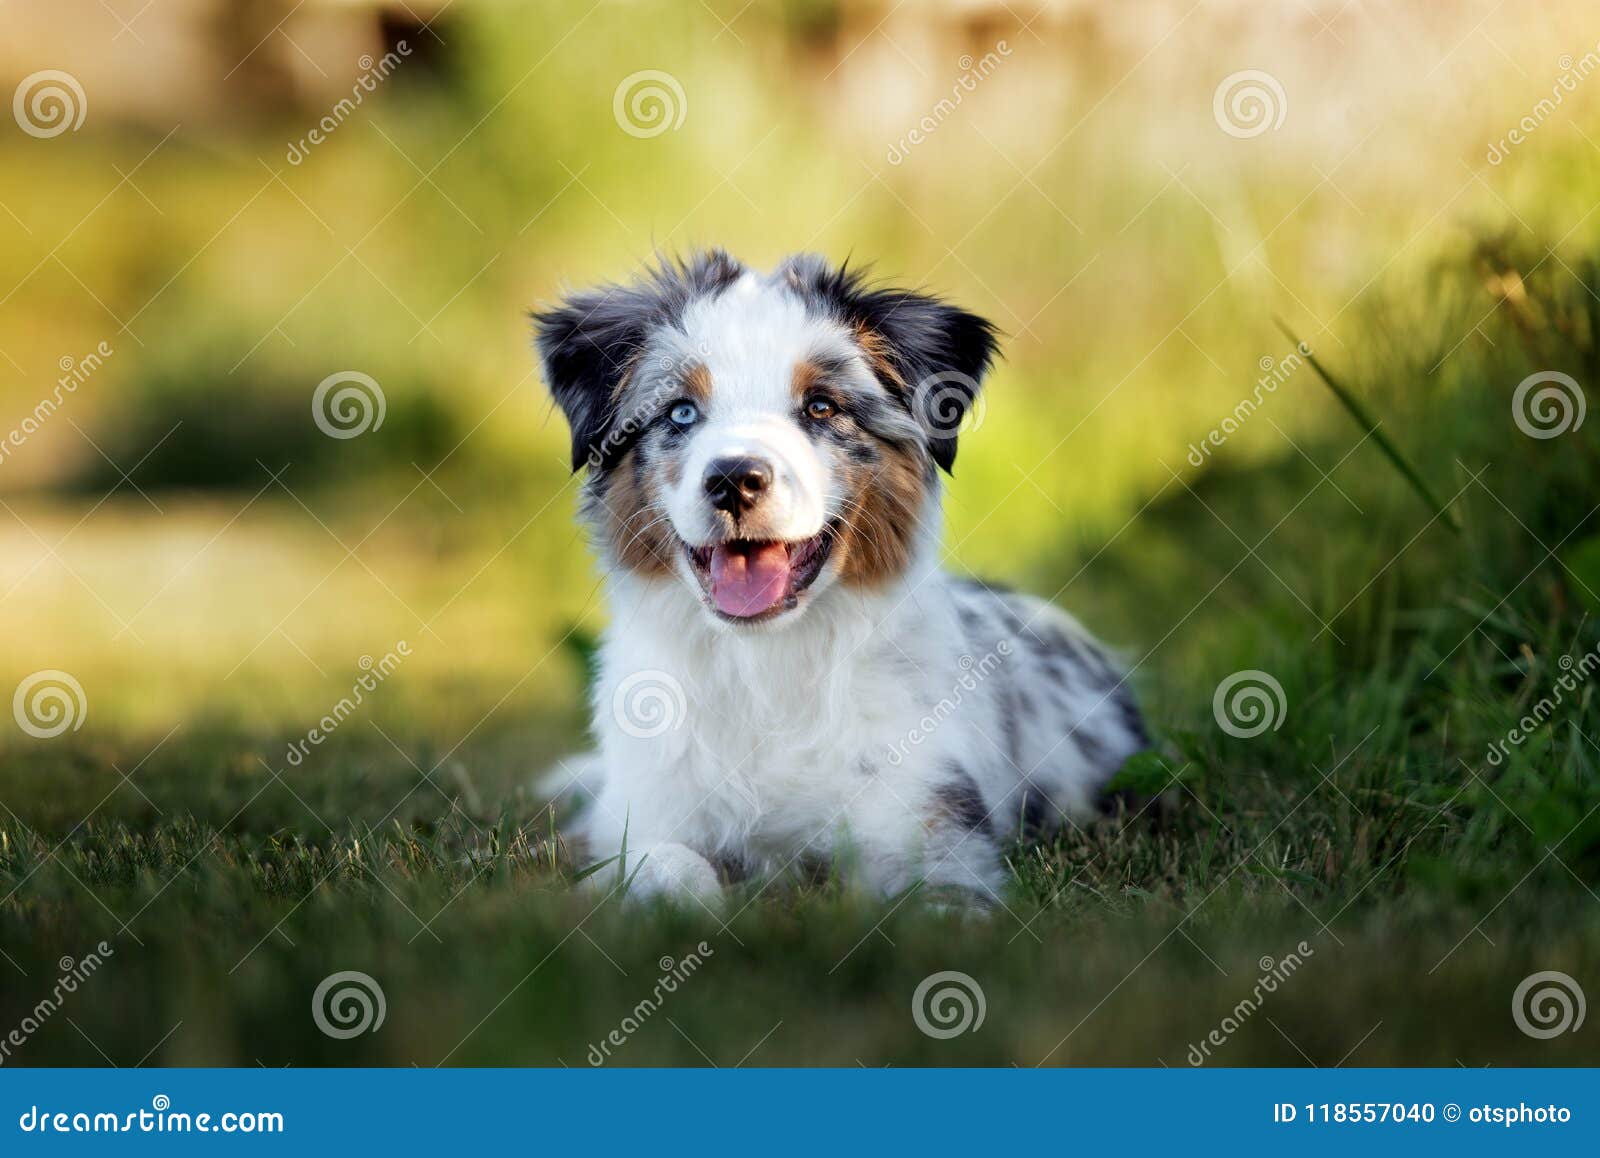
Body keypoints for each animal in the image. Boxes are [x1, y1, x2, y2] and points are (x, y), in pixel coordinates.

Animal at [540, 251, 1152, 902]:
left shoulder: (936, 827)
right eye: (681, 411)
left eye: (821, 407)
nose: (733, 480)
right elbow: (665, 866)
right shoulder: (639, 815)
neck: (767, 667)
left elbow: (934, 895)